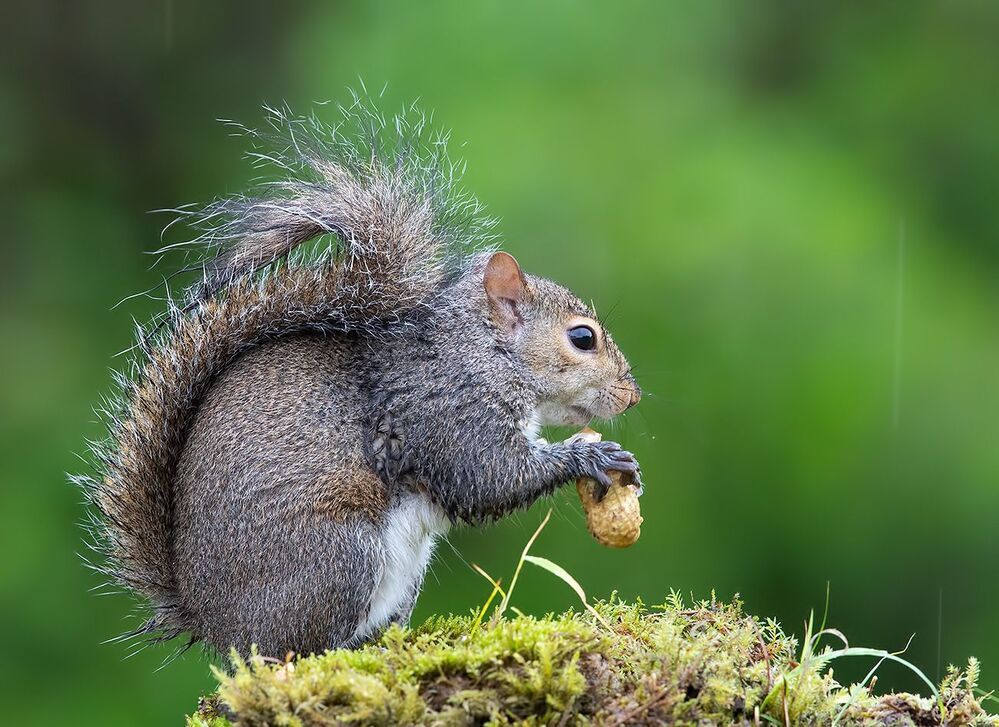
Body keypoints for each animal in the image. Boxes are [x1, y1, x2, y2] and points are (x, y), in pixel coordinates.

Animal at [79, 102, 642, 659]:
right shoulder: (448, 411)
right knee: (296, 650)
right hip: (339, 555)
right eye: (583, 338)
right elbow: (491, 477)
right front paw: (592, 455)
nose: (632, 396)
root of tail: (215, 624)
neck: (482, 354)